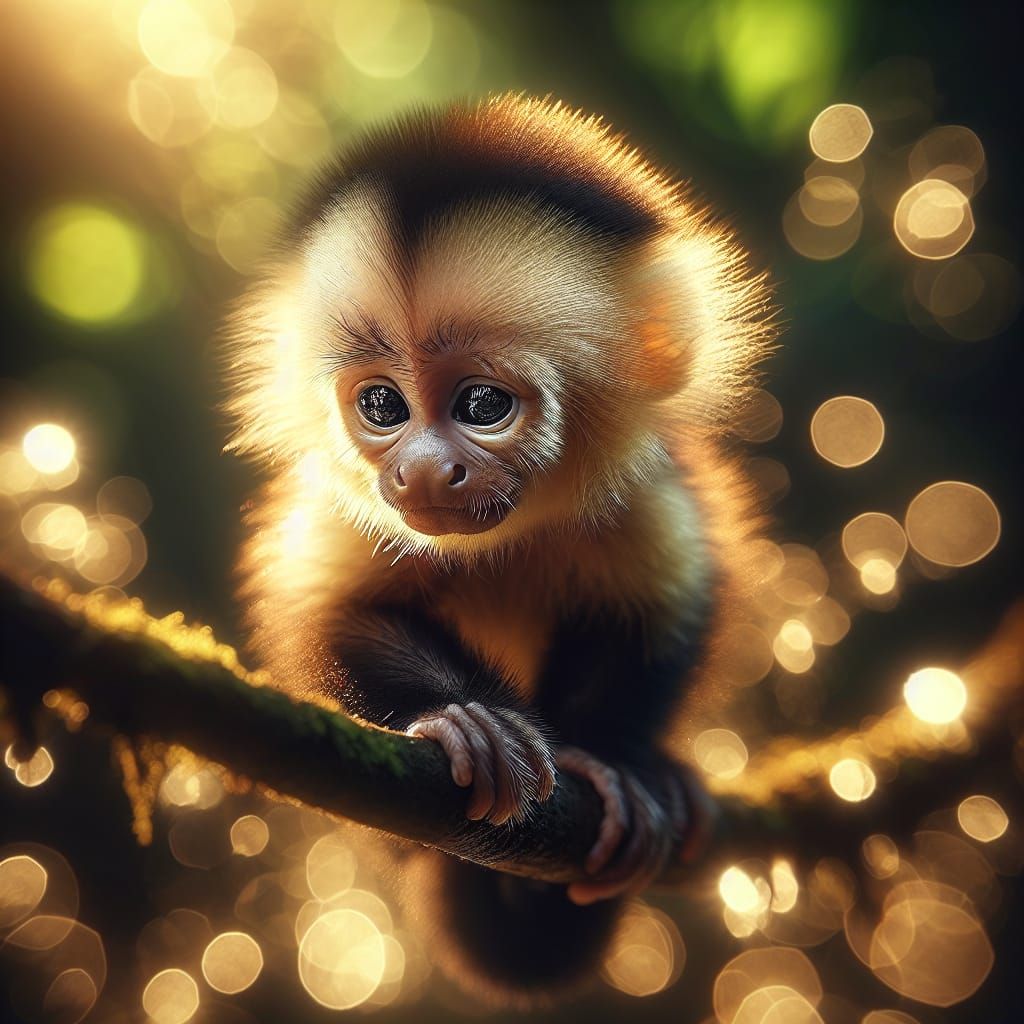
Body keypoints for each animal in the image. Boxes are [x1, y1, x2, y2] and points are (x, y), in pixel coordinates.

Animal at [224, 94, 775, 1005]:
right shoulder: (349, 510)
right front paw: (465, 718)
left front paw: (620, 762)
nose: (420, 469)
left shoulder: (645, 491)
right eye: (382, 405)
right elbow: (330, 613)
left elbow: (668, 606)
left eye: (482, 404)